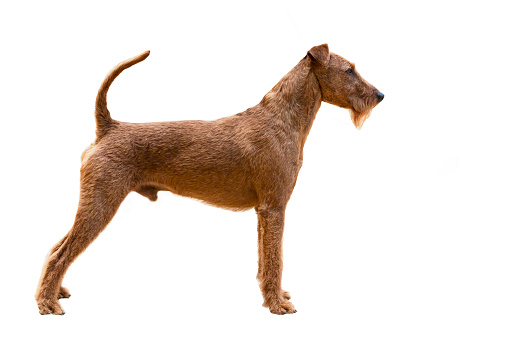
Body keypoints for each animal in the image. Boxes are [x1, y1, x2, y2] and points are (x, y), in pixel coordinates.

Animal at [35, 43, 382, 316]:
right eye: (349, 70)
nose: (379, 94)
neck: (283, 119)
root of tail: (109, 127)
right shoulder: (274, 207)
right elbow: (276, 260)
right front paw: (277, 305)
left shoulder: (263, 211)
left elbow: (264, 259)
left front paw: (273, 296)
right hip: (101, 203)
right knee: (61, 253)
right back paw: (47, 303)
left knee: (56, 247)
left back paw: (55, 292)